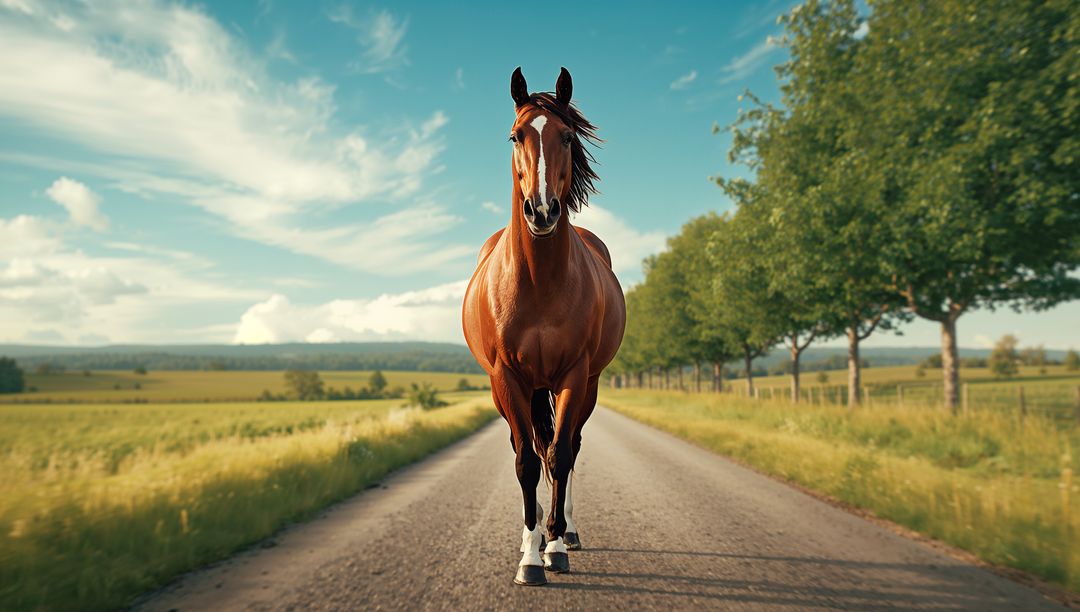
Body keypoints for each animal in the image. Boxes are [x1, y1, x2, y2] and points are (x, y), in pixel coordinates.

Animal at [461, 67, 626, 586]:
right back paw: (529, 533)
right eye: (516, 135)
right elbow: (527, 461)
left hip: (581, 384)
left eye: (567, 137)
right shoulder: (508, 378)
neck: (537, 281)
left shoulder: (574, 375)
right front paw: (530, 556)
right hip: (526, 388)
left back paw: (563, 531)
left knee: (566, 447)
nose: (542, 211)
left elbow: (560, 455)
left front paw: (552, 546)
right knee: (530, 446)